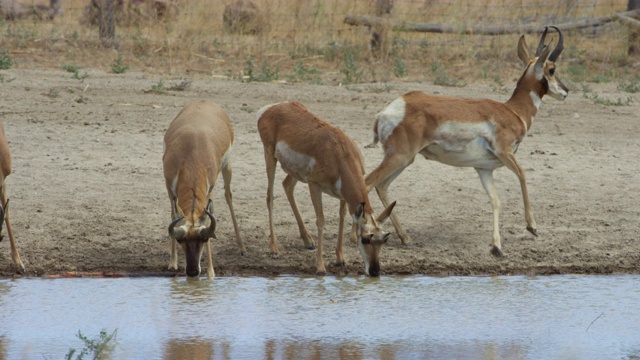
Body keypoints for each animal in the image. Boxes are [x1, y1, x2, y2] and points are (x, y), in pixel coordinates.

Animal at [162, 100, 245, 278]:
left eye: (204, 239)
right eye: (181, 240)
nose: (193, 271)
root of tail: (205, 102)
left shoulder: (209, 190)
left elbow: (208, 218)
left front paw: (211, 272)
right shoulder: (169, 187)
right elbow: (173, 214)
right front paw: (172, 263)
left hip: (227, 168)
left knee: (228, 195)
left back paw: (241, 247)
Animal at [255, 101, 396, 276]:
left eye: (384, 239)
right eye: (365, 239)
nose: (375, 272)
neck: (341, 155)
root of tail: (271, 107)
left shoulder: (343, 195)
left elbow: (342, 215)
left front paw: (340, 259)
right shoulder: (314, 186)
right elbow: (321, 220)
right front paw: (320, 268)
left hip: (295, 173)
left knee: (287, 185)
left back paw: (308, 240)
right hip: (270, 157)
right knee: (270, 196)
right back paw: (274, 249)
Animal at [362, 26, 568, 256]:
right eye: (552, 69)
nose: (566, 90)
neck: (513, 111)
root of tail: (387, 111)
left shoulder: (484, 169)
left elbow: (496, 200)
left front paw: (496, 246)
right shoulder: (505, 153)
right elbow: (523, 174)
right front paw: (532, 227)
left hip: (405, 160)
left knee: (381, 186)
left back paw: (406, 238)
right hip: (399, 157)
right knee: (367, 182)